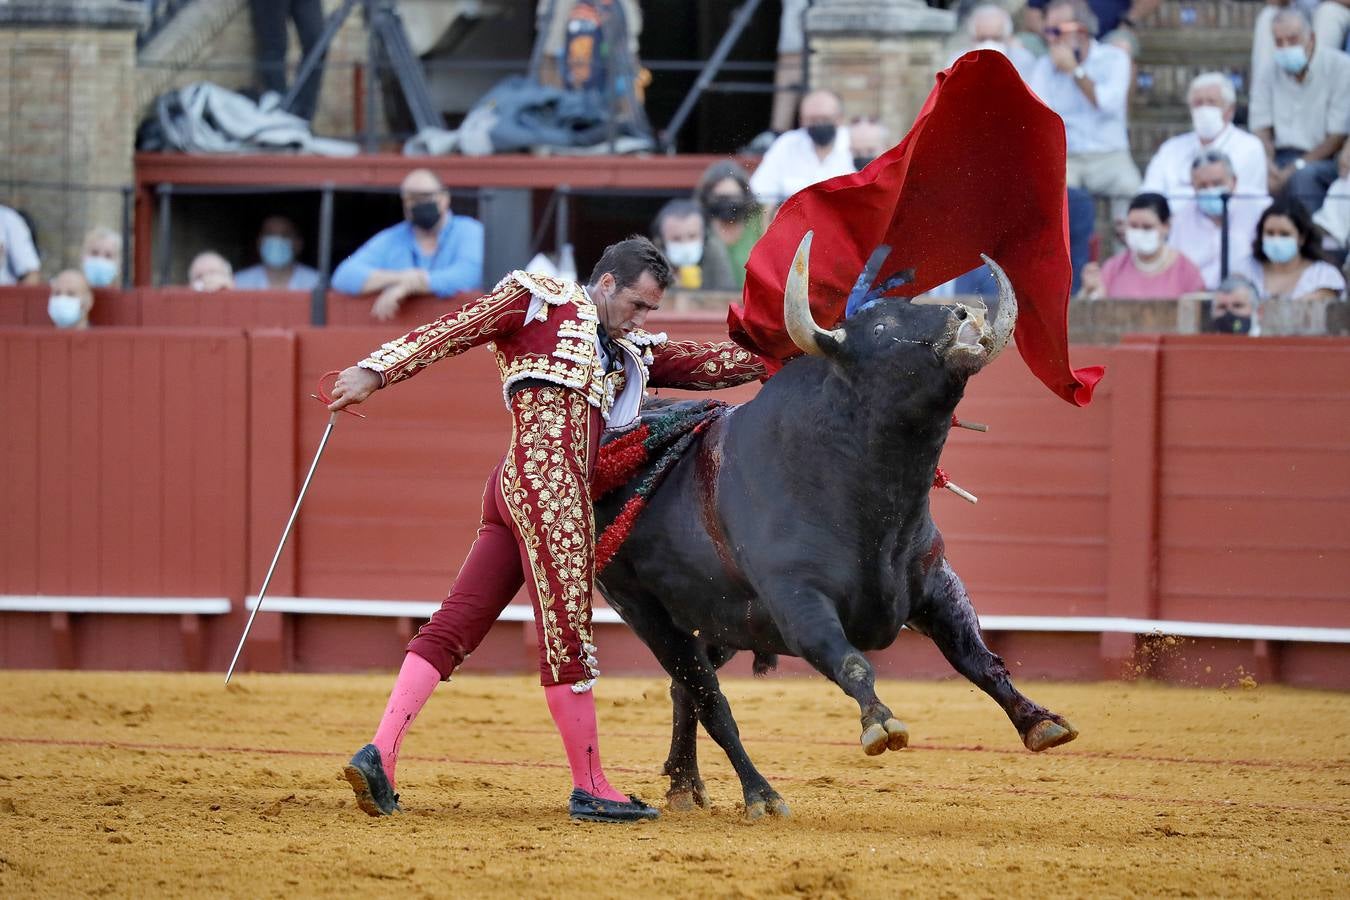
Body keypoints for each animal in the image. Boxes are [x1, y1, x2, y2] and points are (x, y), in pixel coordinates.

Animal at [596, 236, 1080, 820]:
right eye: (880, 326)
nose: (966, 314)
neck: (872, 494)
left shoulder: (937, 583)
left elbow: (979, 658)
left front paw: (1041, 722)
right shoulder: (798, 599)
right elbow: (848, 661)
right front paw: (881, 723)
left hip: (716, 621)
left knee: (685, 689)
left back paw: (686, 784)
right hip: (644, 610)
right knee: (709, 697)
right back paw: (761, 794)